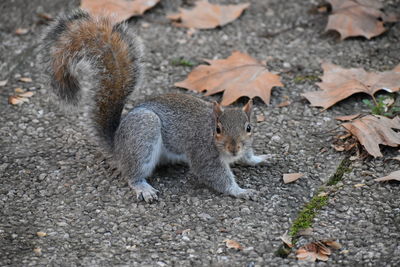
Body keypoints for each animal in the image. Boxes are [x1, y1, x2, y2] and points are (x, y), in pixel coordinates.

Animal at [40, 10, 268, 203]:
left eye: (249, 128)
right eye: (218, 129)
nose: (234, 148)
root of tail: (117, 146)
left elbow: (248, 156)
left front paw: (258, 158)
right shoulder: (204, 153)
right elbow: (214, 175)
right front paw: (240, 191)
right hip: (143, 133)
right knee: (132, 173)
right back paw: (143, 188)